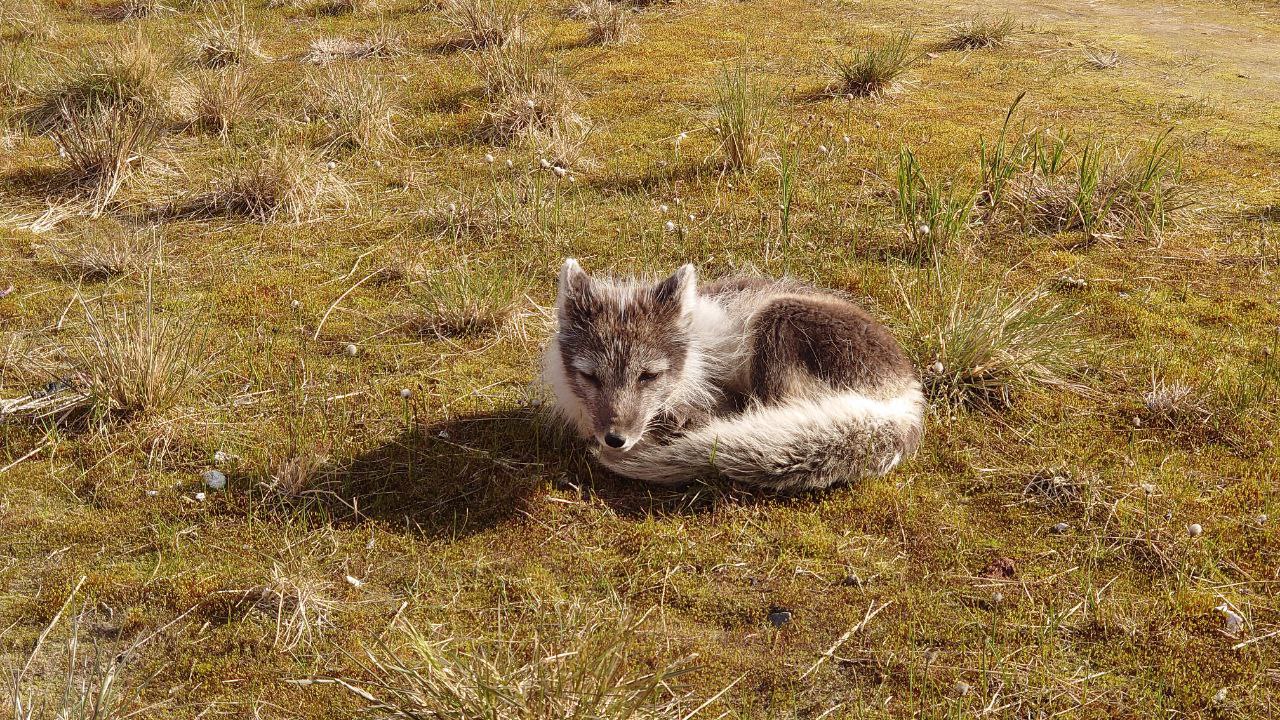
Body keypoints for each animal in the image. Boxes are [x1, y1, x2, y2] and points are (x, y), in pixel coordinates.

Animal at [545, 260, 926, 489]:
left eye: (648, 377)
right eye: (591, 377)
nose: (615, 440)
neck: (694, 357)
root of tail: (909, 397)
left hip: (778, 317)